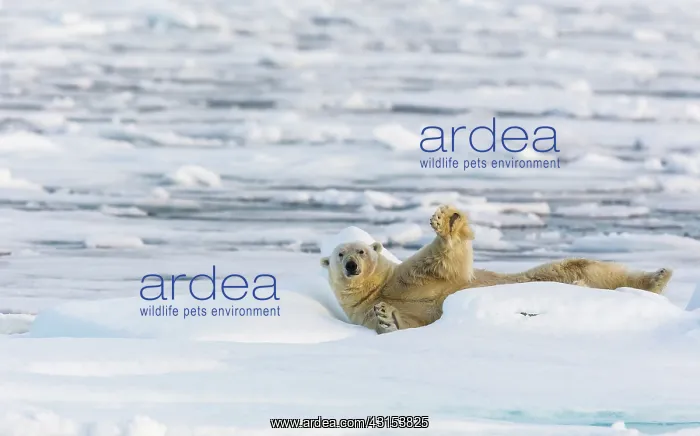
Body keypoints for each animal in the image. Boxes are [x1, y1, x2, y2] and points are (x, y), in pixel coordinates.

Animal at [320, 204, 673, 334]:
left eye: (361, 250)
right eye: (339, 254)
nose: (351, 265)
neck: (379, 288)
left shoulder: (407, 277)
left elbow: (444, 265)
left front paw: (447, 219)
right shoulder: (362, 312)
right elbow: (408, 322)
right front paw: (386, 317)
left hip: (561, 270)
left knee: (590, 268)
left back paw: (658, 277)